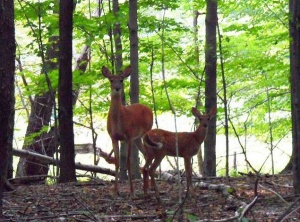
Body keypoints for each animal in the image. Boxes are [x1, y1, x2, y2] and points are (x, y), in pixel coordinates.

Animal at [102, 65, 154, 196]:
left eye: (121, 80)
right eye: (111, 80)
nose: (117, 88)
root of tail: (149, 109)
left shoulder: (128, 137)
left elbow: (129, 163)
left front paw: (131, 190)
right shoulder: (113, 137)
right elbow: (117, 162)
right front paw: (115, 190)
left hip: (146, 132)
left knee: (149, 153)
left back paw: (149, 187)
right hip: (138, 138)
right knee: (146, 154)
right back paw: (148, 186)